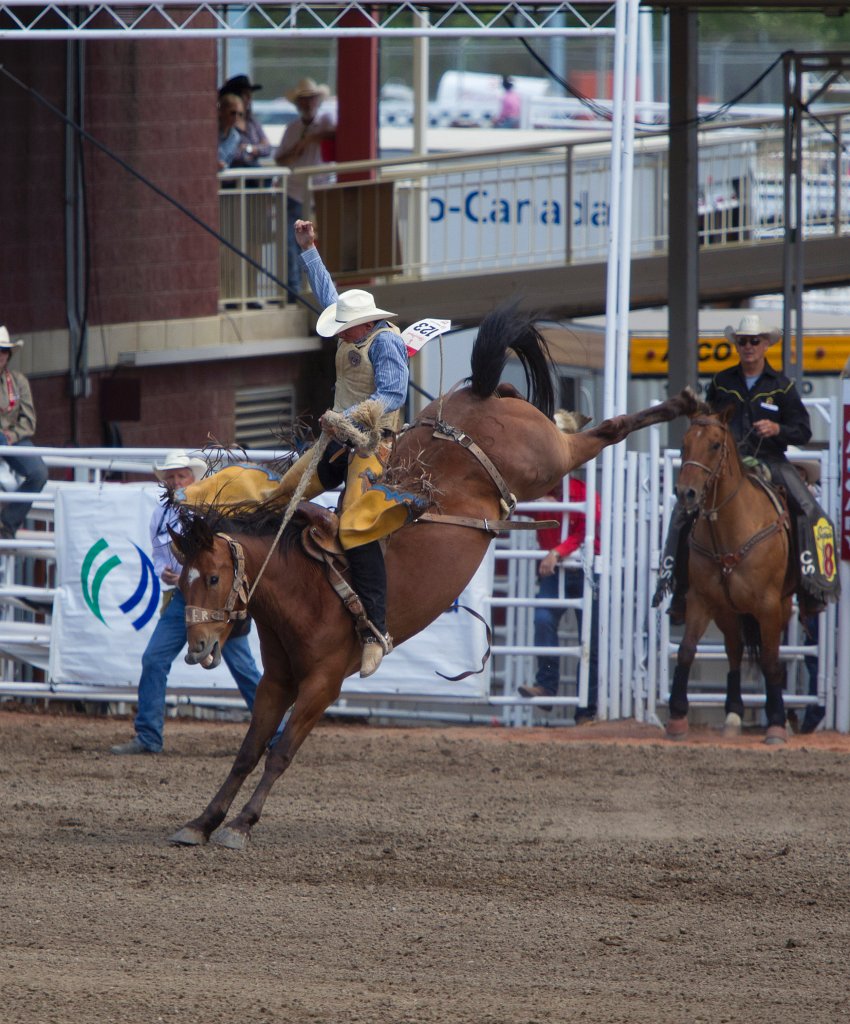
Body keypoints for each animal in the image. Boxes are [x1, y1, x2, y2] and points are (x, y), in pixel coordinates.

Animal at [167, 305, 700, 847]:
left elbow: (279, 754)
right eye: (178, 582)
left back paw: (680, 401)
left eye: (212, 579)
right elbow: (248, 752)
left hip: (548, 460)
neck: (304, 584)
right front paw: (202, 821)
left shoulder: (322, 684)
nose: (197, 647)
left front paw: (240, 825)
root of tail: (477, 398)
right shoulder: (277, 681)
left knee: (607, 431)